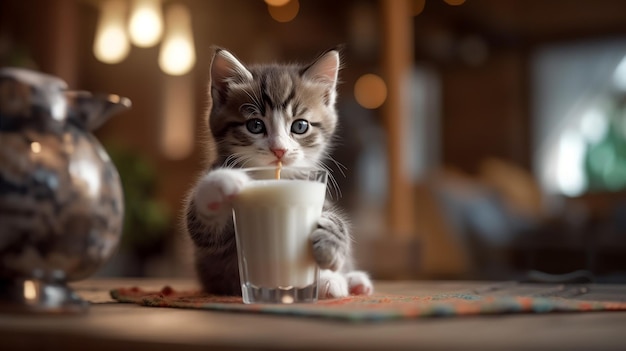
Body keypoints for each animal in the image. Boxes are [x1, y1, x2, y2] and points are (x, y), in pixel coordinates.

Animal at [183, 47, 372, 300]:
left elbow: (334, 218)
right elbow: (201, 226)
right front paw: (225, 181)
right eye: (255, 125)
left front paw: (331, 241)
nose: (279, 149)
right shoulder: (214, 248)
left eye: (300, 126)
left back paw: (354, 280)